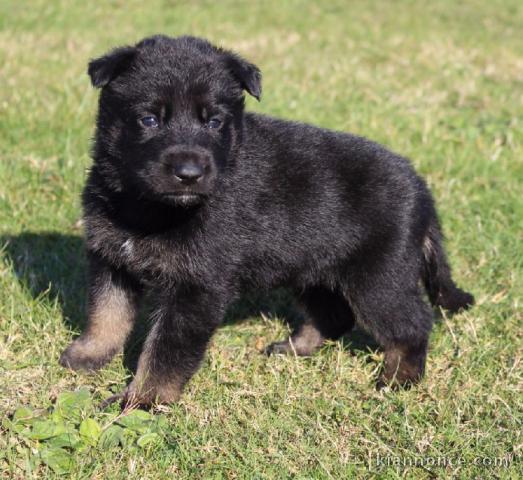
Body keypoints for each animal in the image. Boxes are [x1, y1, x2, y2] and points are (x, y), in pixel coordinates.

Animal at [58, 34, 474, 404]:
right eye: (149, 120)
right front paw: (88, 356)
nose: (190, 173)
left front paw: (143, 399)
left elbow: (164, 351)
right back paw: (296, 348)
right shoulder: (111, 259)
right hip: (313, 268)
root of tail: (421, 189)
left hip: (378, 278)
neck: (150, 207)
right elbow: (105, 314)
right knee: (335, 315)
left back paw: (399, 378)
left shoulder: (196, 287)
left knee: (412, 323)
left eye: (214, 122)